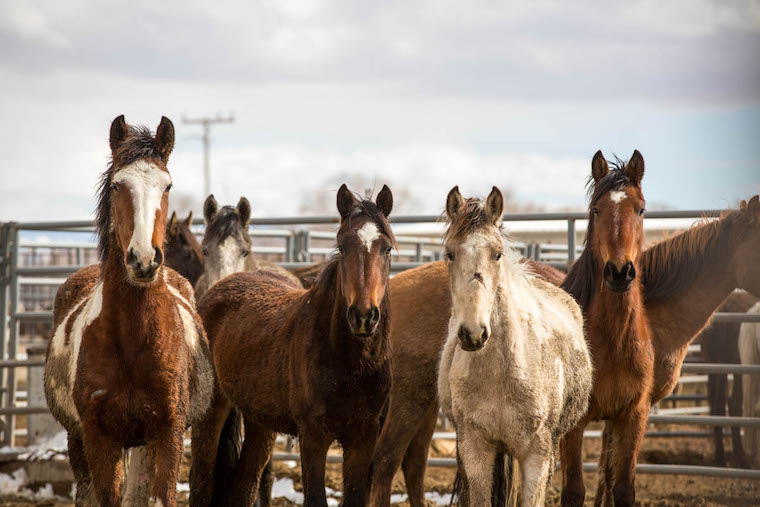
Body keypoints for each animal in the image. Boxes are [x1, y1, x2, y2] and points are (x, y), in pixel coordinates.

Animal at [43, 115, 214, 507]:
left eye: (167, 185)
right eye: (118, 184)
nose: (144, 258)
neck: (133, 340)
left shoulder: (168, 433)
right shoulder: (98, 436)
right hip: (81, 441)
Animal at [190, 184, 396, 506]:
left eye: (386, 248)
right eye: (342, 247)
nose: (363, 316)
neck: (351, 362)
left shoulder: (364, 435)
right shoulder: (312, 435)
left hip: (260, 422)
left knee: (245, 483)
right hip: (212, 411)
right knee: (201, 482)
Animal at [438, 186, 592, 506]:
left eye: (497, 254)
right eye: (450, 253)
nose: (473, 333)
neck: (502, 375)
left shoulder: (537, 455)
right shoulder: (475, 449)